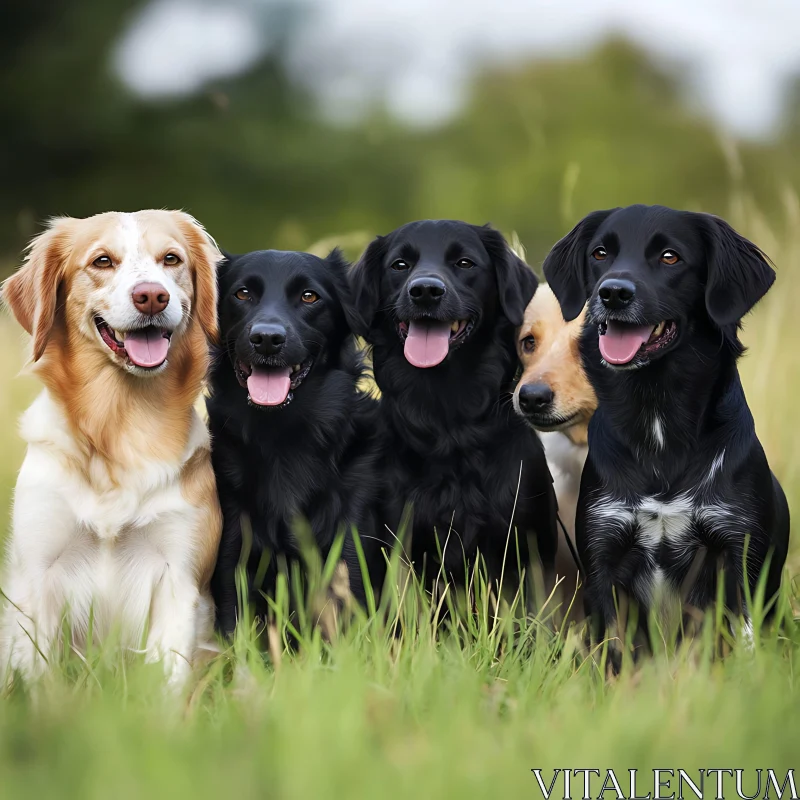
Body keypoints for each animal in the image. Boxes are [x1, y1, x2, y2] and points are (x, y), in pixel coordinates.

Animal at [3, 209, 223, 684]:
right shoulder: (39, 576)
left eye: (171, 259)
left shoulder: (179, 577)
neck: (120, 422)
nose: (152, 296)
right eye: (102, 261)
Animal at [208, 247, 386, 636]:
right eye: (242, 293)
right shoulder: (232, 560)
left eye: (309, 296)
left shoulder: (349, 555)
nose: (266, 338)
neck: (283, 435)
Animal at [540, 203, 792, 648]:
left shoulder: (739, 551)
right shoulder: (603, 553)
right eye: (600, 253)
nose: (612, 293)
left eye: (670, 257)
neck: (656, 412)